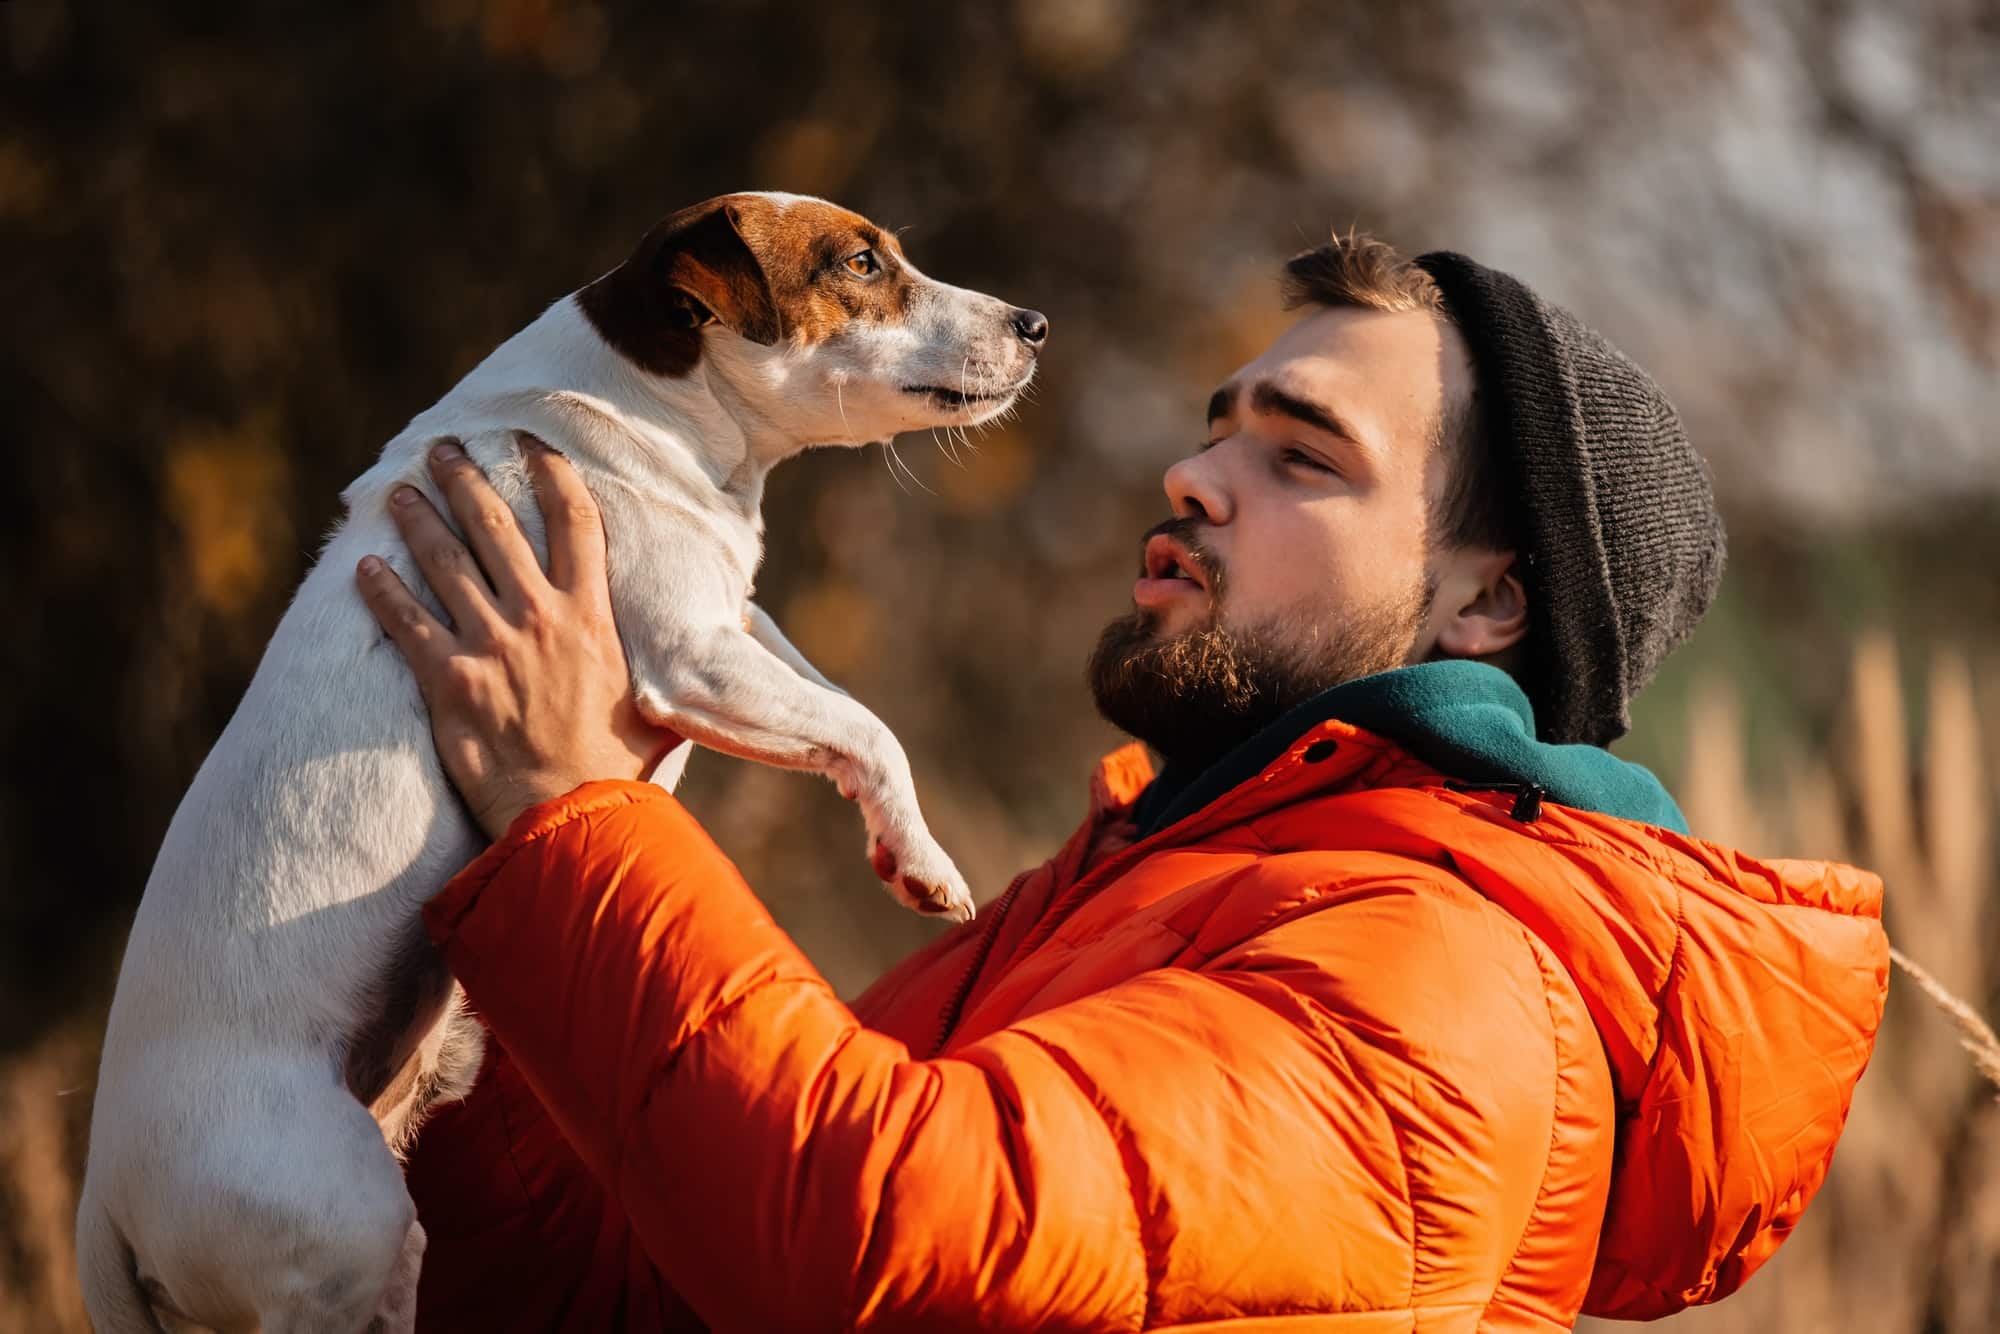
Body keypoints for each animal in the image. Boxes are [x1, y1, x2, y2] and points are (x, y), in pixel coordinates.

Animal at [78, 190, 1048, 1334]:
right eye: (859, 263)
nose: (1035, 323)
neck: (656, 404)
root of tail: (104, 1202)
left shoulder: (737, 618)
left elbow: (847, 709)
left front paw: (910, 840)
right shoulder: (692, 654)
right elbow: (866, 729)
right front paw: (922, 862)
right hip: (343, 1232)